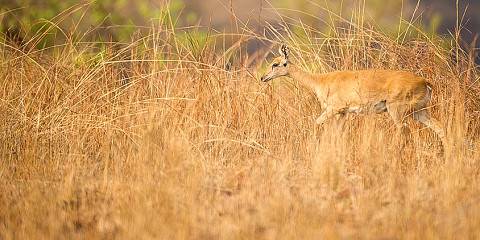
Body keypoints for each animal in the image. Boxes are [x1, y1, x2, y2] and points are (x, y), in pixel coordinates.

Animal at [262, 45, 446, 146]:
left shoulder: (333, 109)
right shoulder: (343, 113)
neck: (320, 81)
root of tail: (425, 82)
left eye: (275, 64)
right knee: (440, 128)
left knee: (405, 132)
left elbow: (315, 124)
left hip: (398, 112)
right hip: (419, 112)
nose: (263, 77)